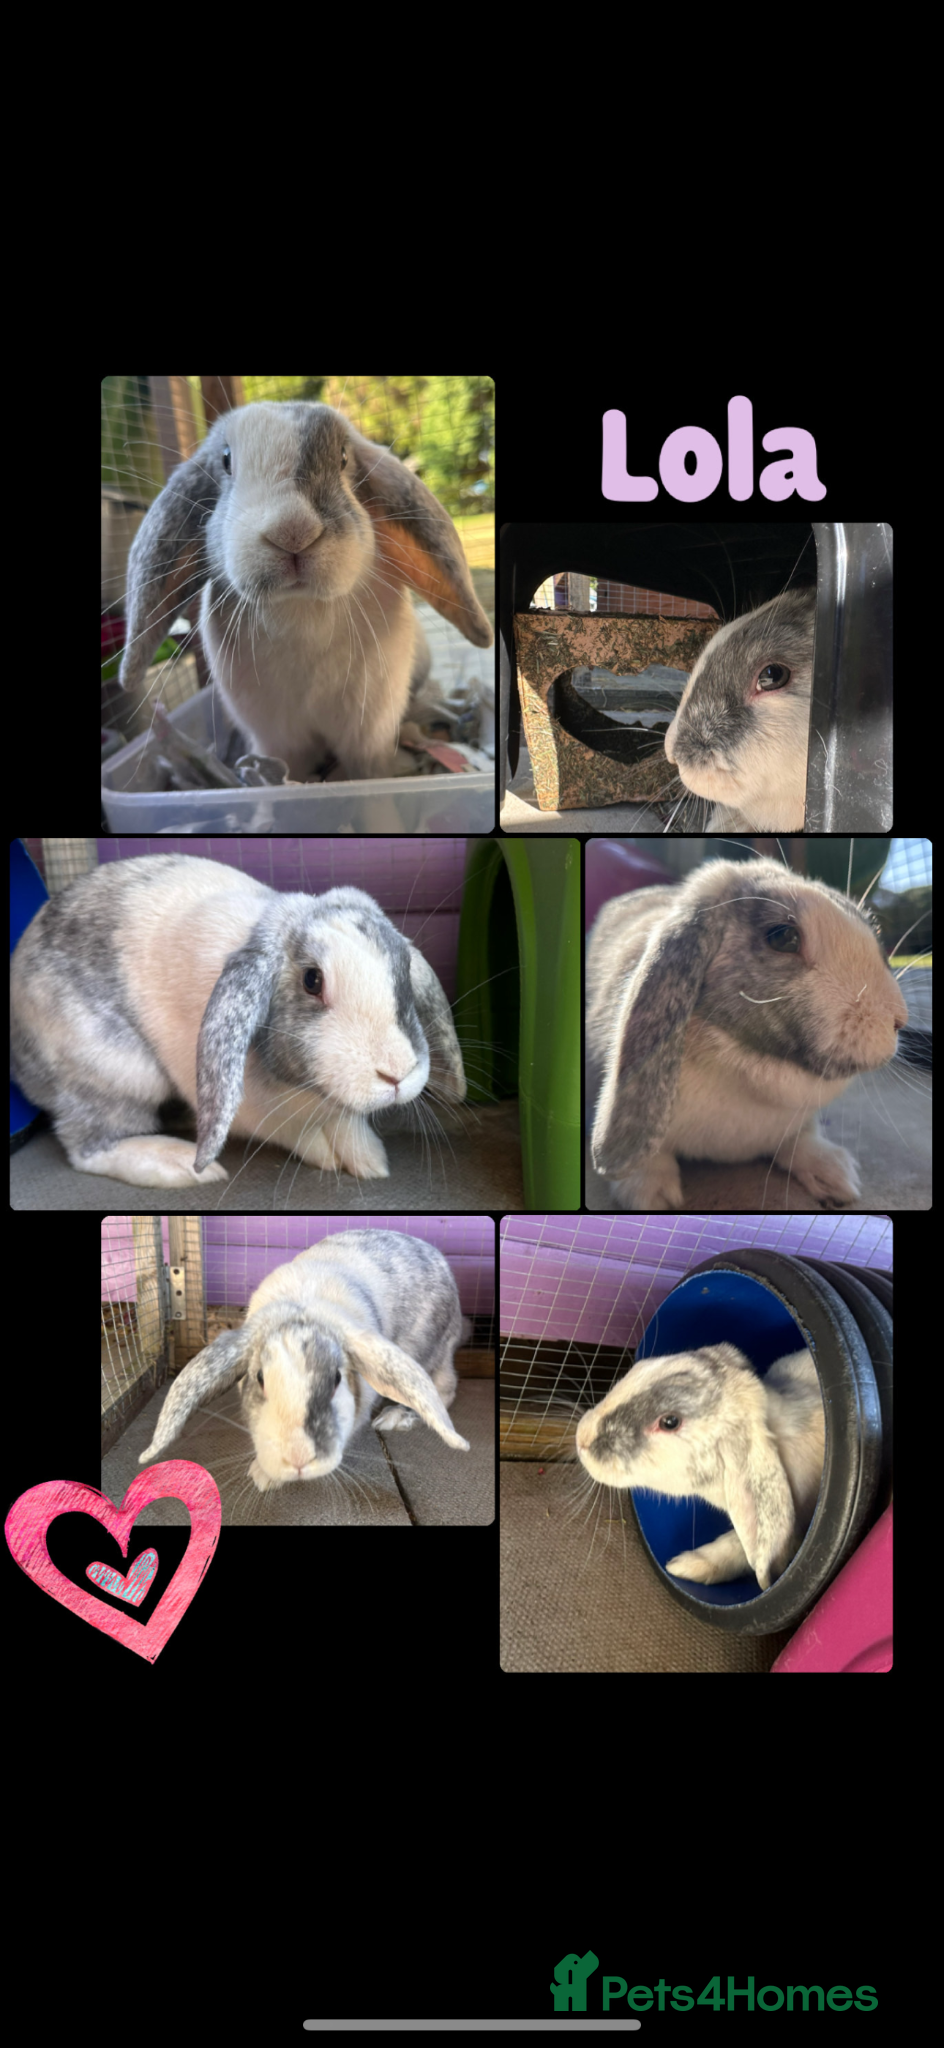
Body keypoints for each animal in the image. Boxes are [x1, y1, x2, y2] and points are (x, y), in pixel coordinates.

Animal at [10, 854, 465, 1188]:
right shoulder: (257, 1112)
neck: (301, 1090)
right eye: (312, 981)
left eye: (404, 969)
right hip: (118, 1071)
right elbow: (299, 1130)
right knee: (89, 1146)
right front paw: (344, 1154)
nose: (397, 1074)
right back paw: (182, 1167)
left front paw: (368, 1159)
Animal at [117, 400, 494, 782]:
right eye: (225, 460)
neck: (300, 610)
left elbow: (370, 773)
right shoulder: (276, 737)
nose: (291, 530)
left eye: (343, 456)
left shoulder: (369, 732)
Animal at [138, 1231, 470, 1490]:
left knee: (445, 1391)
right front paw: (264, 1476)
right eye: (260, 1378)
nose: (298, 1459)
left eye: (337, 1379)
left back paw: (395, 1417)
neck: (302, 1308)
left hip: (429, 1352)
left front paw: (264, 1477)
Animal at [586, 855, 908, 1211]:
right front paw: (653, 1197)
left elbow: (802, 1138)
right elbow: (652, 1157)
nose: (899, 1019)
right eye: (783, 937)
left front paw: (835, 1176)